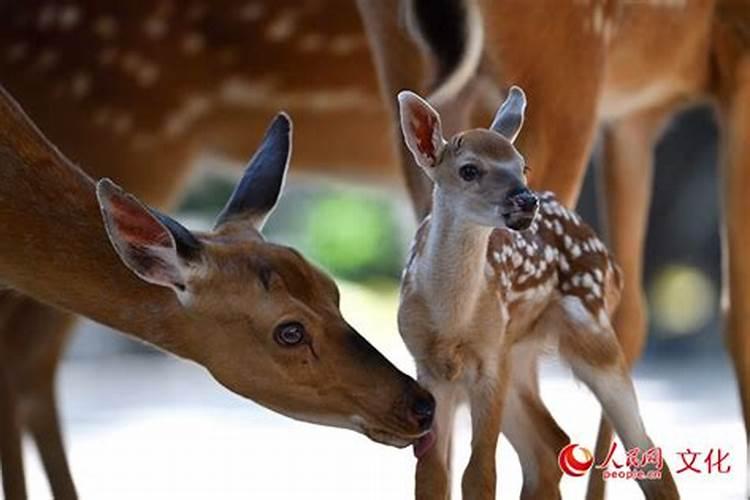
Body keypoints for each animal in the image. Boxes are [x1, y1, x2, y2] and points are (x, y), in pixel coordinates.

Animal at [400, 89, 680, 500]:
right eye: (469, 170)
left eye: (522, 166)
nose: (525, 199)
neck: (452, 320)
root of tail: (613, 266)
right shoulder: (429, 367)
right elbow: (432, 476)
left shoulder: (489, 361)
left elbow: (479, 475)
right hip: (518, 356)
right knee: (549, 446)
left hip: (591, 333)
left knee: (643, 449)